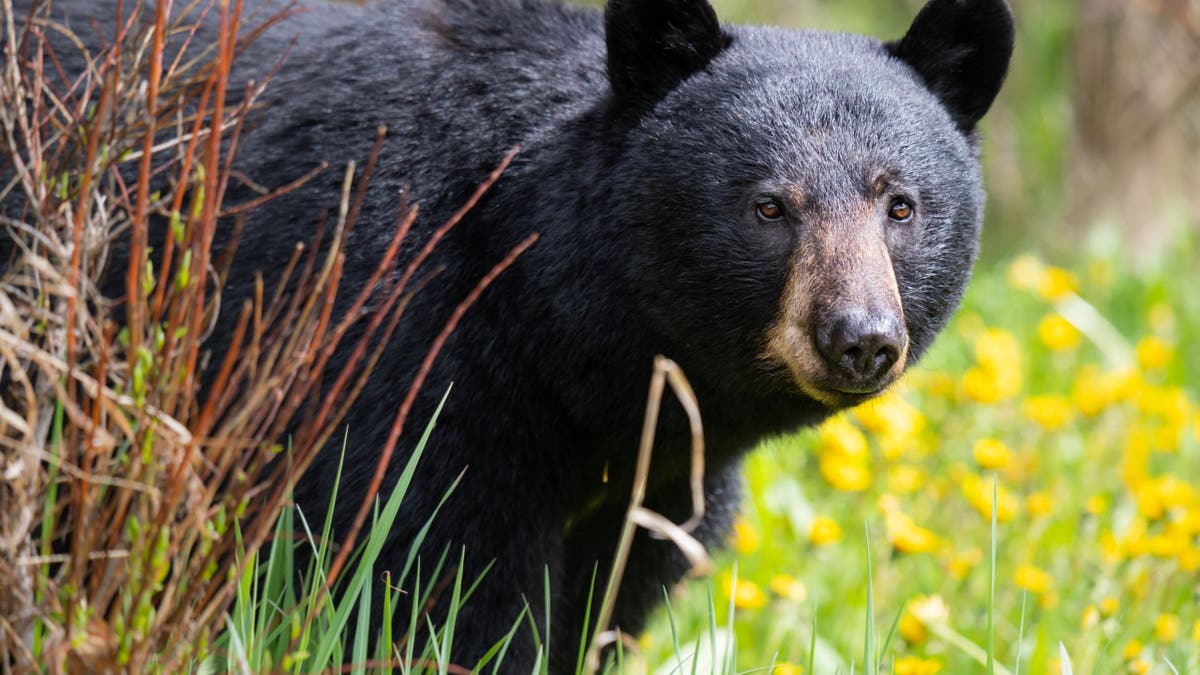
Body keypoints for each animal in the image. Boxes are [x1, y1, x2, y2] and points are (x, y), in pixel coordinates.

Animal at [14, 0, 1013, 669]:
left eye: (900, 205)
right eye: (769, 206)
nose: (860, 337)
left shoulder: (660, 476)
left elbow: (607, 598)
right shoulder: (399, 345)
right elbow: (436, 579)